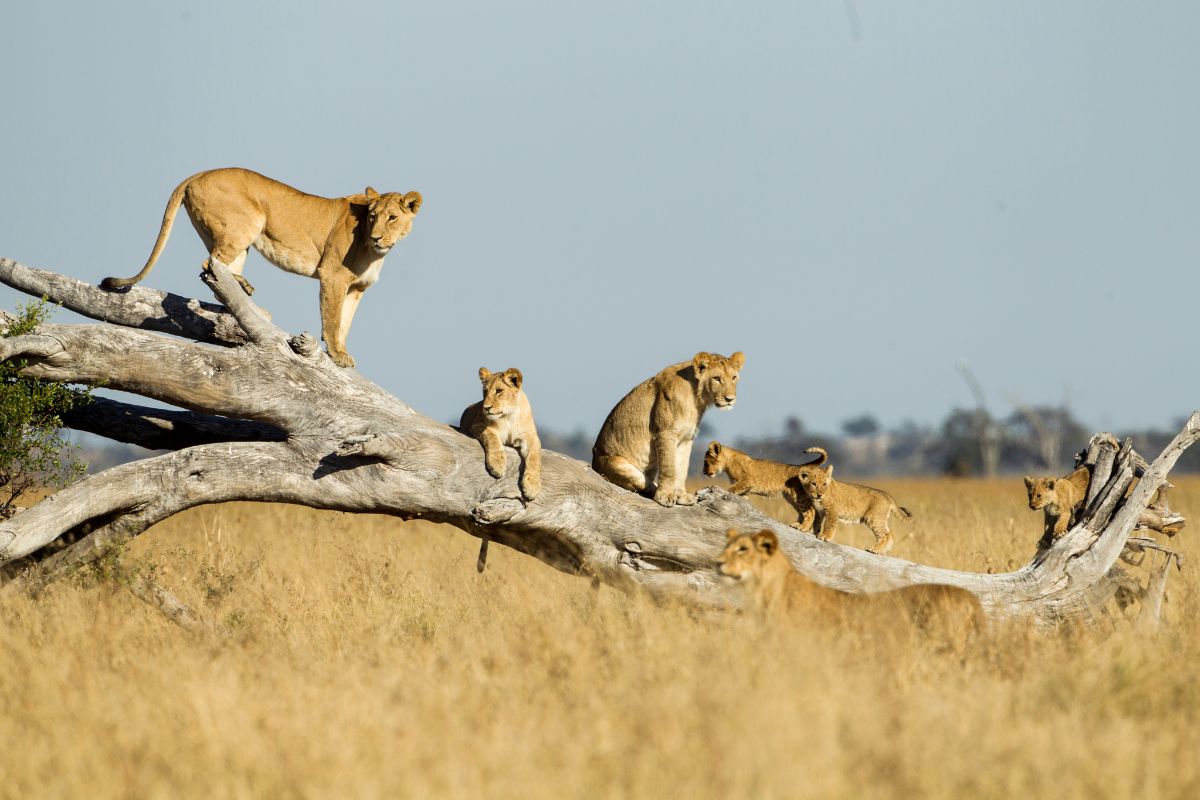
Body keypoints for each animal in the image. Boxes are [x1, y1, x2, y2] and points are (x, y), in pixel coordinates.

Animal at [100, 170, 424, 371]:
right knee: (208, 264)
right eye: (373, 217)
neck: (377, 253)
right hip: (245, 224)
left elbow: (345, 322)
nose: (377, 237)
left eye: (392, 218)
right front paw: (336, 354)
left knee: (216, 269)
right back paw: (246, 291)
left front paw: (343, 353)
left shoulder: (356, 288)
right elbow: (332, 319)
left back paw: (245, 292)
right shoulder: (332, 275)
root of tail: (199, 173)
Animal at [458, 367, 544, 501]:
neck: (509, 416)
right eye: (485, 391)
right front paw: (497, 464)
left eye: (499, 391)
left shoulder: (531, 437)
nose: (486, 408)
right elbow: (493, 438)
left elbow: (534, 458)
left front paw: (532, 486)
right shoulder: (477, 426)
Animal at [590, 352, 739, 506]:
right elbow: (669, 467)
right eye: (717, 378)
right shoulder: (665, 432)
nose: (730, 399)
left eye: (733, 377)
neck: (696, 398)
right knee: (643, 484)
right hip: (619, 465)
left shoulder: (686, 438)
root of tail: (594, 462)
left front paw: (681, 496)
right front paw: (666, 495)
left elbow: (682, 468)